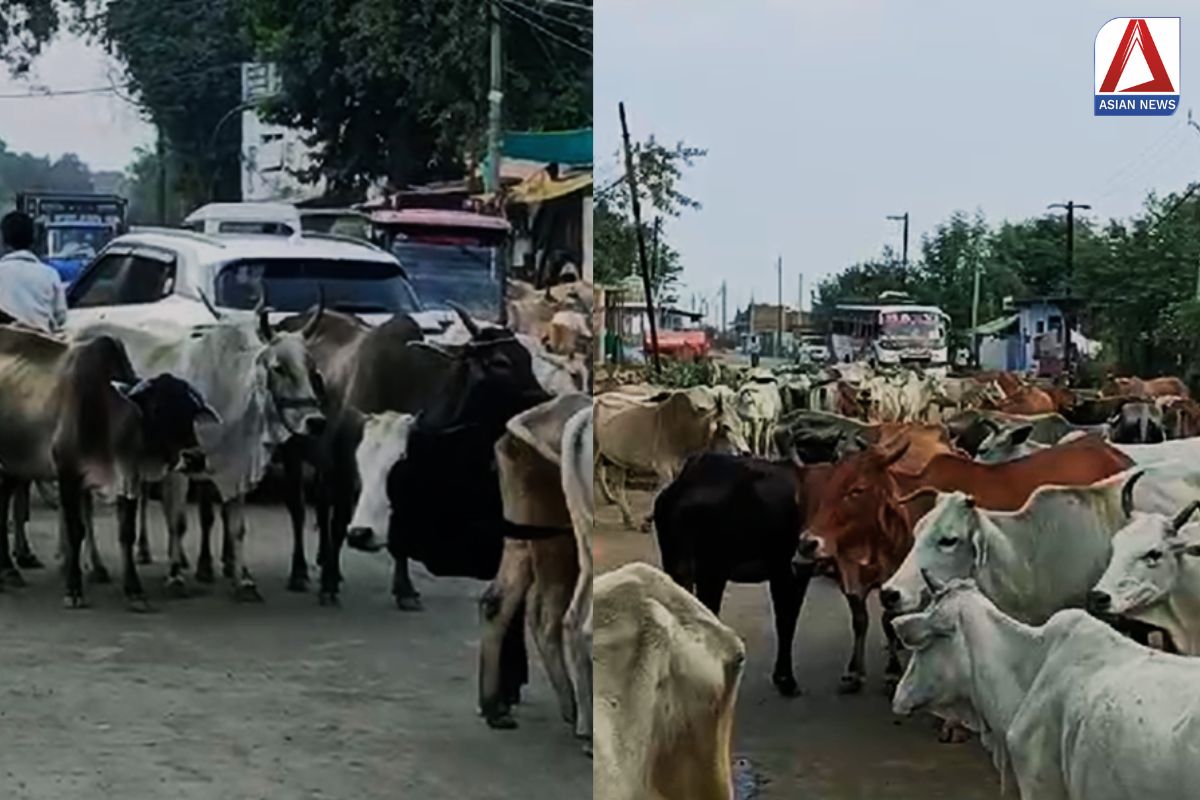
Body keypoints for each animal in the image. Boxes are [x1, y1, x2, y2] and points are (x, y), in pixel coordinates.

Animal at [652, 453, 820, 695]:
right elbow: (786, 622)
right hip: (702, 568)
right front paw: (786, 679)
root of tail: (678, 490)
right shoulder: (788, 573)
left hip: (693, 568)